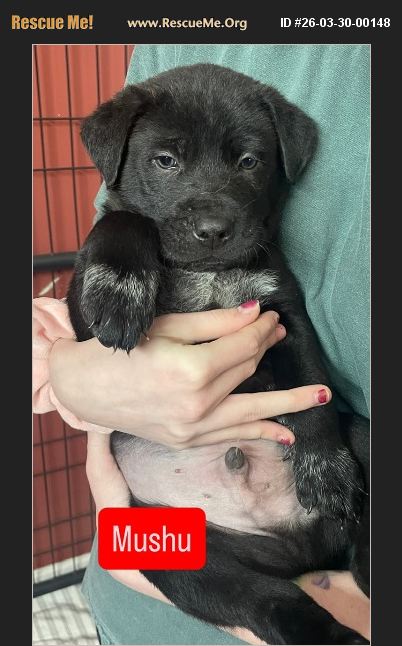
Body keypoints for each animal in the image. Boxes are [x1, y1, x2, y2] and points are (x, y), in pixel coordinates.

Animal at [67, 63, 370, 644]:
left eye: (249, 161)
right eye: (165, 160)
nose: (212, 231)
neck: (206, 273)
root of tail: (298, 548)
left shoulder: (283, 313)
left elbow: (312, 391)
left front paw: (325, 468)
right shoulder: (82, 330)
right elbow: (124, 220)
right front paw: (120, 283)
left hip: (363, 438)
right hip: (175, 557)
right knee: (266, 600)